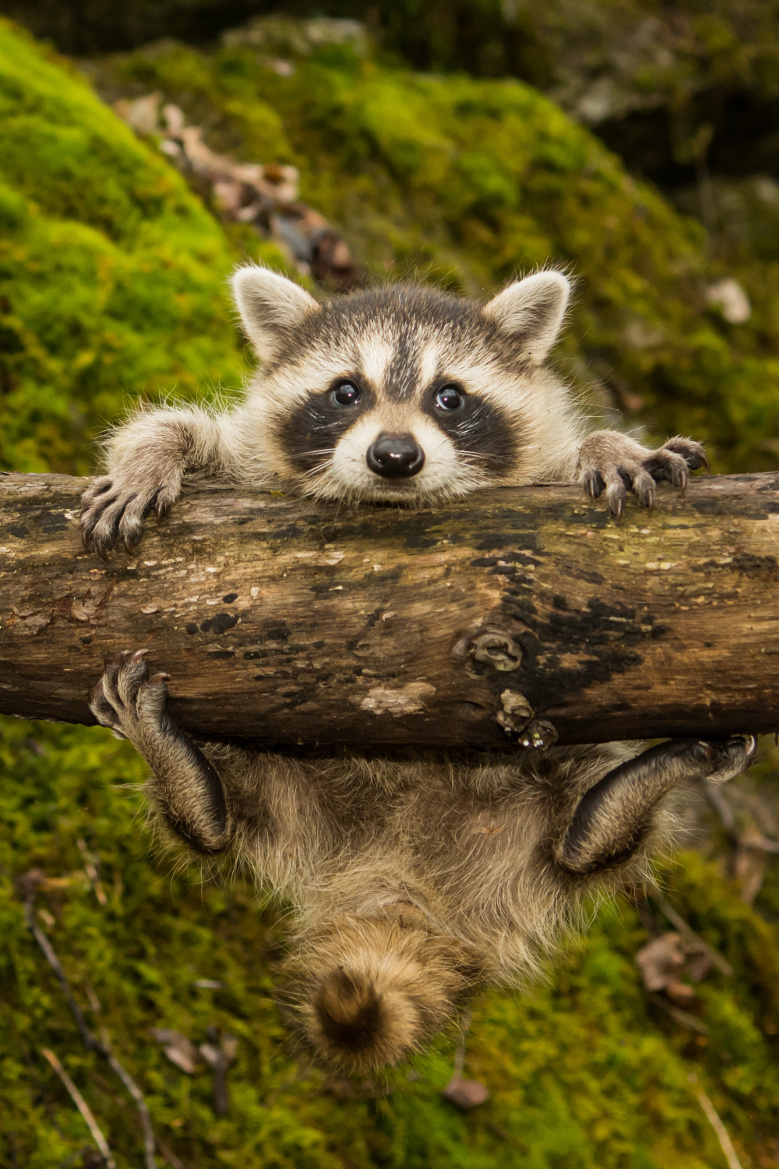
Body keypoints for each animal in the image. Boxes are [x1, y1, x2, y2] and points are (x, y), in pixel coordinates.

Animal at [80, 268, 753, 1070]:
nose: (394, 456)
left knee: (578, 847)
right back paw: (189, 779)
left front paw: (608, 443)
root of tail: (399, 869)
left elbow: (572, 451)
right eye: (346, 391)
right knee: (225, 820)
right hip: (285, 787)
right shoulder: (253, 458)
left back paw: (617, 804)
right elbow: (192, 429)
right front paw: (151, 456)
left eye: (449, 397)